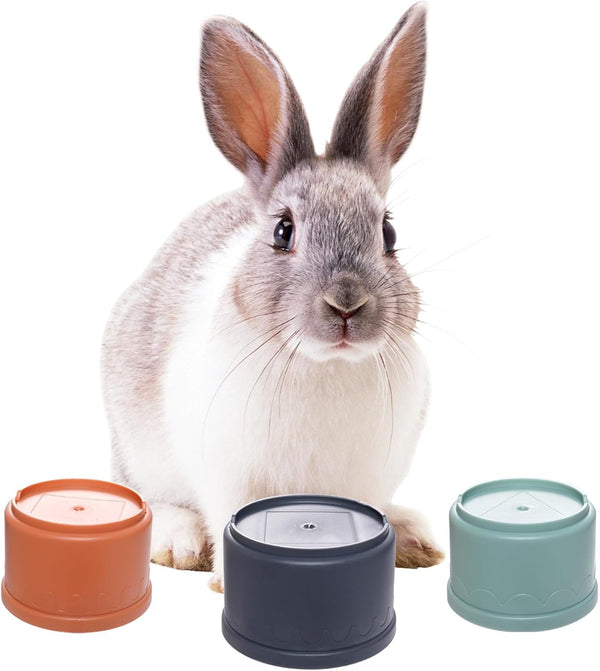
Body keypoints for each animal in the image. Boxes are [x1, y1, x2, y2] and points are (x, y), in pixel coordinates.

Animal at [101, 2, 443, 593]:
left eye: (388, 233)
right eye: (283, 231)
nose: (346, 304)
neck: (327, 364)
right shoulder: (226, 473)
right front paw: (223, 580)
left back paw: (414, 537)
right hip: (138, 450)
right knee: (147, 498)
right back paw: (178, 540)